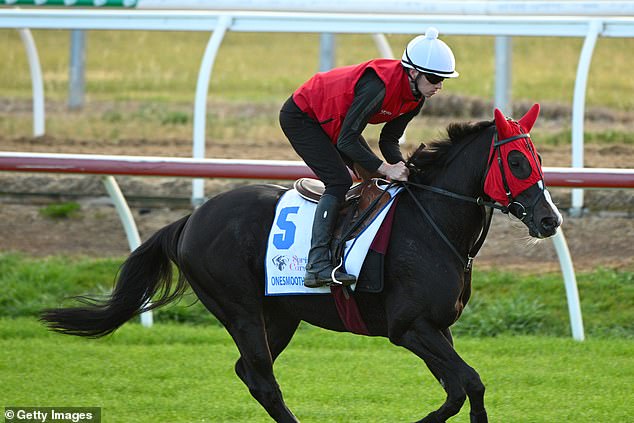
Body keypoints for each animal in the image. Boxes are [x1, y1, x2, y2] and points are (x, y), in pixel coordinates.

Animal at [42, 104, 560, 422]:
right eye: (516, 162)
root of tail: (191, 219)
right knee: (262, 379)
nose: (549, 218)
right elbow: (469, 382)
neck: (431, 222)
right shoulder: (409, 327)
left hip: (280, 315)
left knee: (248, 372)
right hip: (240, 310)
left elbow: (459, 388)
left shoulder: (437, 327)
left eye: (538, 158)